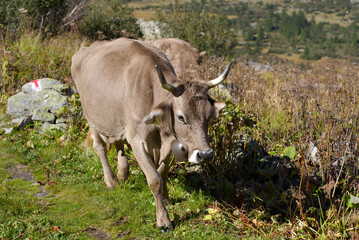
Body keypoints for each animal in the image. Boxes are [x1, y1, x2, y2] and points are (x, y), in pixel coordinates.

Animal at [71, 38, 232, 231]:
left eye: (208, 116)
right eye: (181, 117)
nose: (206, 154)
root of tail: (84, 50)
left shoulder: (170, 142)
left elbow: (162, 172)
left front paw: (167, 197)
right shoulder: (137, 141)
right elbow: (154, 179)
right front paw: (163, 220)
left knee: (118, 144)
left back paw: (122, 174)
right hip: (91, 118)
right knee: (100, 147)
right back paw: (110, 181)